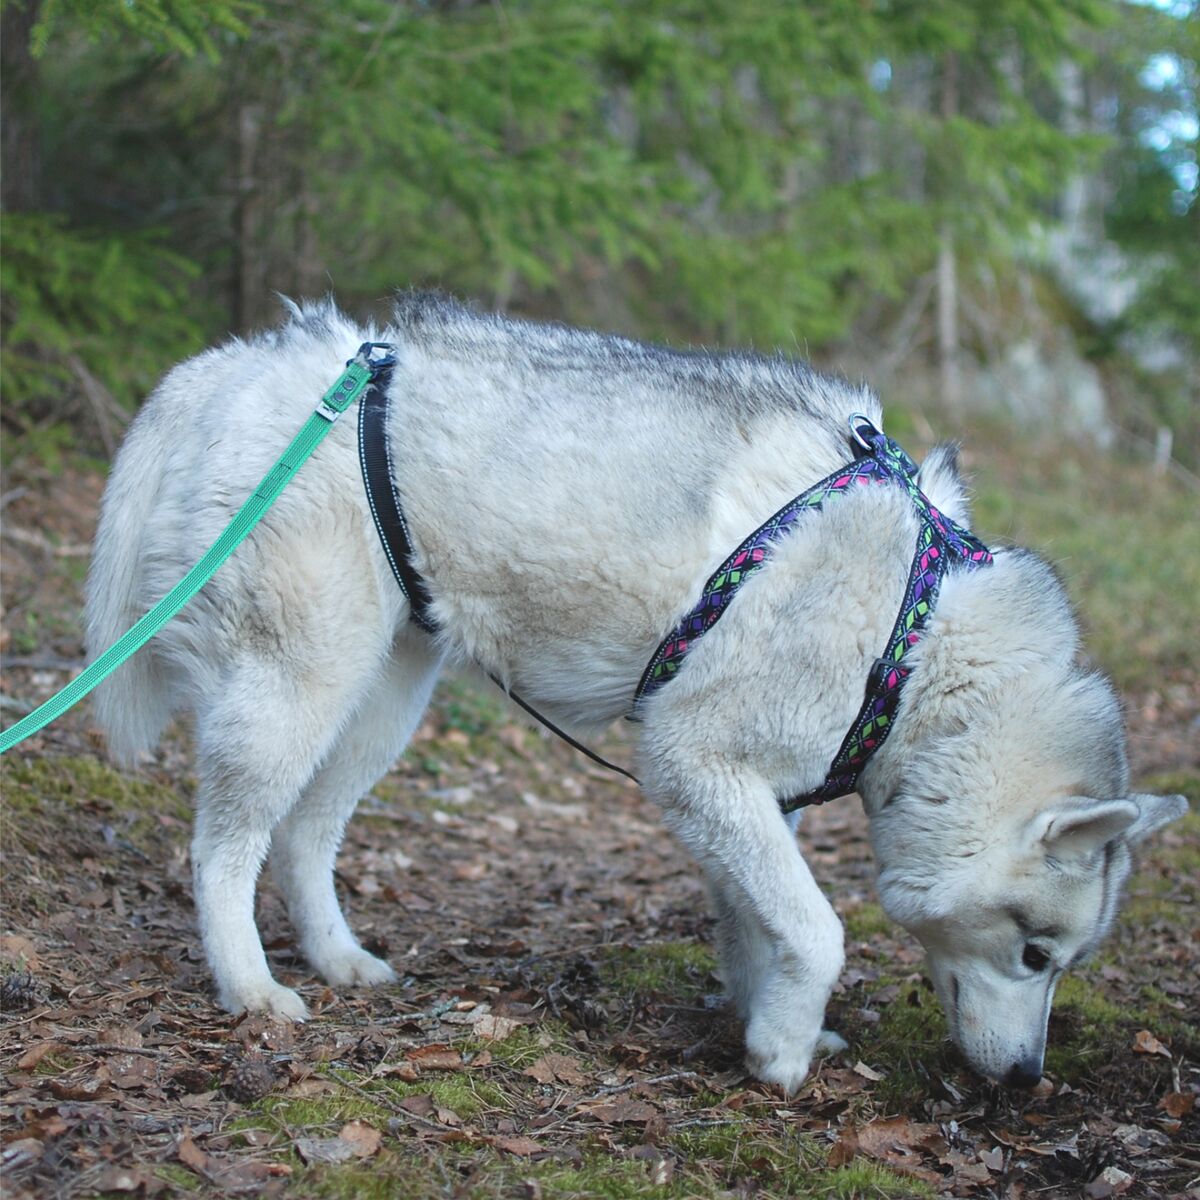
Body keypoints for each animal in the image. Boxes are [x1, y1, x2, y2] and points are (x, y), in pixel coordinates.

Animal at [88, 290, 1185, 1089]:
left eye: (1063, 965)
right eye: (1036, 954)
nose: (1028, 1081)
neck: (919, 644)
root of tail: (248, 358)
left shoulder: (747, 798)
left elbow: (760, 929)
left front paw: (770, 1025)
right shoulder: (693, 762)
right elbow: (819, 929)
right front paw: (782, 1054)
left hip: (381, 705)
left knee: (306, 837)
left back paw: (338, 960)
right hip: (299, 690)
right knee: (222, 850)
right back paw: (250, 987)